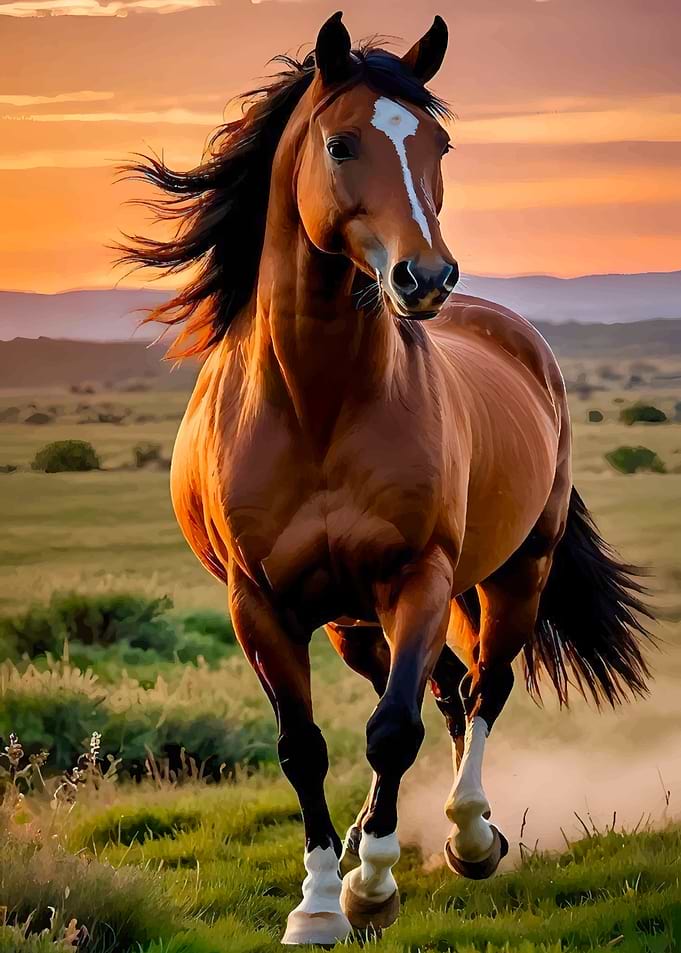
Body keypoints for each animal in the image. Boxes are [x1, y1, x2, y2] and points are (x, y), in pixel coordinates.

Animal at [119, 11, 653, 946]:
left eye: (440, 143)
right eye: (340, 144)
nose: (425, 277)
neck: (318, 400)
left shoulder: (421, 576)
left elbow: (392, 730)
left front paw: (372, 885)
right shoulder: (260, 604)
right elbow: (305, 745)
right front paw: (320, 902)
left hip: (514, 572)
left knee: (482, 686)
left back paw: (471, 832)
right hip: (351, 622)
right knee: (448, 690)